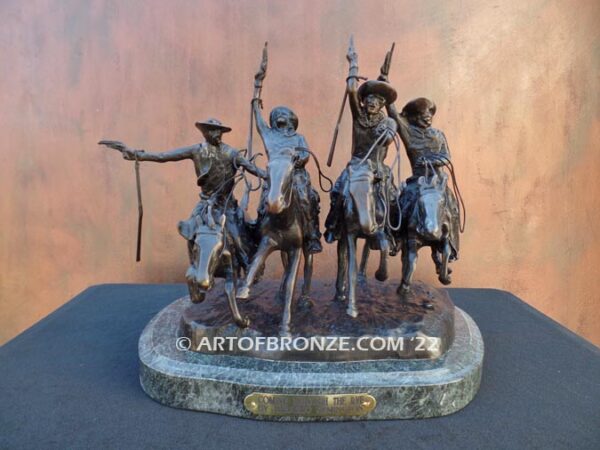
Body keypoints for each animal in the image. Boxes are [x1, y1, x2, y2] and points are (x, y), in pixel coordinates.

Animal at [234, 147, 312, 334]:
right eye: (267, 170)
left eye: (291, 172)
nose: (274, 203)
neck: (283, 220)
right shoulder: (268, 241)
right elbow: (255, 262)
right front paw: (243, 290)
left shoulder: (296, 248)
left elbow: (292, 282)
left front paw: (285, 327)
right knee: (284, 265)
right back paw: (279, 294)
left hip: (308, 243)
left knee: (308, 263)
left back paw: (305, 299)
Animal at [336, 160, 392, 318]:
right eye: (350, 194)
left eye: (371, 191)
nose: (371, 227)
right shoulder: (350, 232)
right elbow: (351, 268)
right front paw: (352, 309)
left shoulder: (380, 226)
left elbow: (384, 245)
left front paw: (381, 275)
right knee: (342, 255)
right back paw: (340, 293)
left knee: (367, 248)